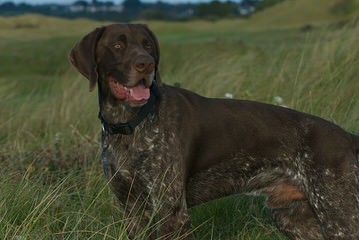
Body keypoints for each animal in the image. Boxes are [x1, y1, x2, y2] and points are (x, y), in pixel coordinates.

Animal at [69, 23, 359, 240]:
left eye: (147, 45)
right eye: (117, 45)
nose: (147, 64)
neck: (129, 124)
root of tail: (349, 137)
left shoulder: (172, 213)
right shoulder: (131, 210)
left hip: (339, 218)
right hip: (293, 217)